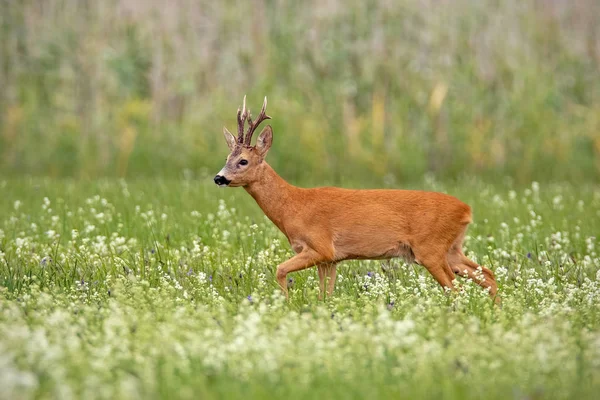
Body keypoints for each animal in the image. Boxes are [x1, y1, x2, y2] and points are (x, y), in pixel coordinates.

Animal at [213, 97, 500, 304]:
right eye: (227, 158)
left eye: (243, 161)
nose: (219, 178)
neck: (293, 205)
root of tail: (466, 209)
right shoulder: (330, 259)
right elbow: (325, 295)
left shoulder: (320, 247)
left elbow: (280, 270)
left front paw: (286, 304)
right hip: (451, 249)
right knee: (487, 274)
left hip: (430, 248)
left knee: (456, 288)